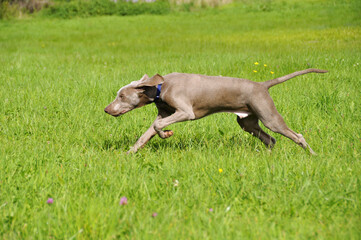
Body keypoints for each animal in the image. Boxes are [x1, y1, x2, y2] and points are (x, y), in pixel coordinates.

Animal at [103, 68, 326, 154]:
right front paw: (128, 154)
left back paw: (313, 155)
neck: (160, 87)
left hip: (268, 116)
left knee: (297, 135)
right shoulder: (165, 113)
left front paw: (167, 134)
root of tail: (262, 85)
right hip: (247, 122)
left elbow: (158, 125)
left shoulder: (186, 112)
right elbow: (146, 133)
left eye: (121, 96)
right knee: (270, 139)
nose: (106, 109)